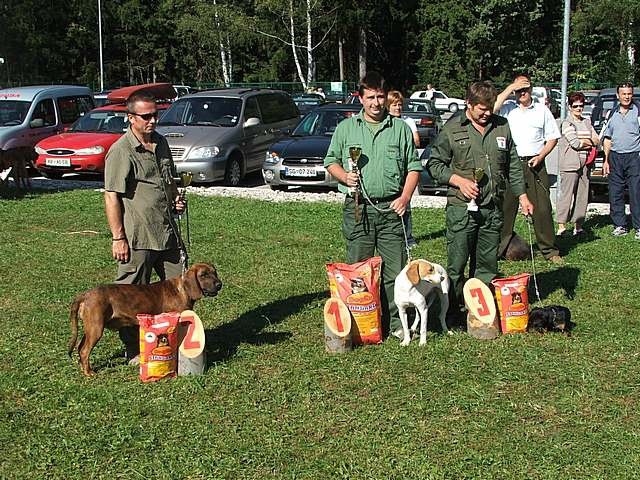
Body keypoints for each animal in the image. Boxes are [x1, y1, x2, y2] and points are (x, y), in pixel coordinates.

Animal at [68, 262, 222, 376]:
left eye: (214, 272)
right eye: (203, 275)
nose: (219, 284)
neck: (182, 289)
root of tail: (85, 295)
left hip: (90, 329)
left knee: (80, 348)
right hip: (96, 329)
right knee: (84, 351)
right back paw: (89, 372)